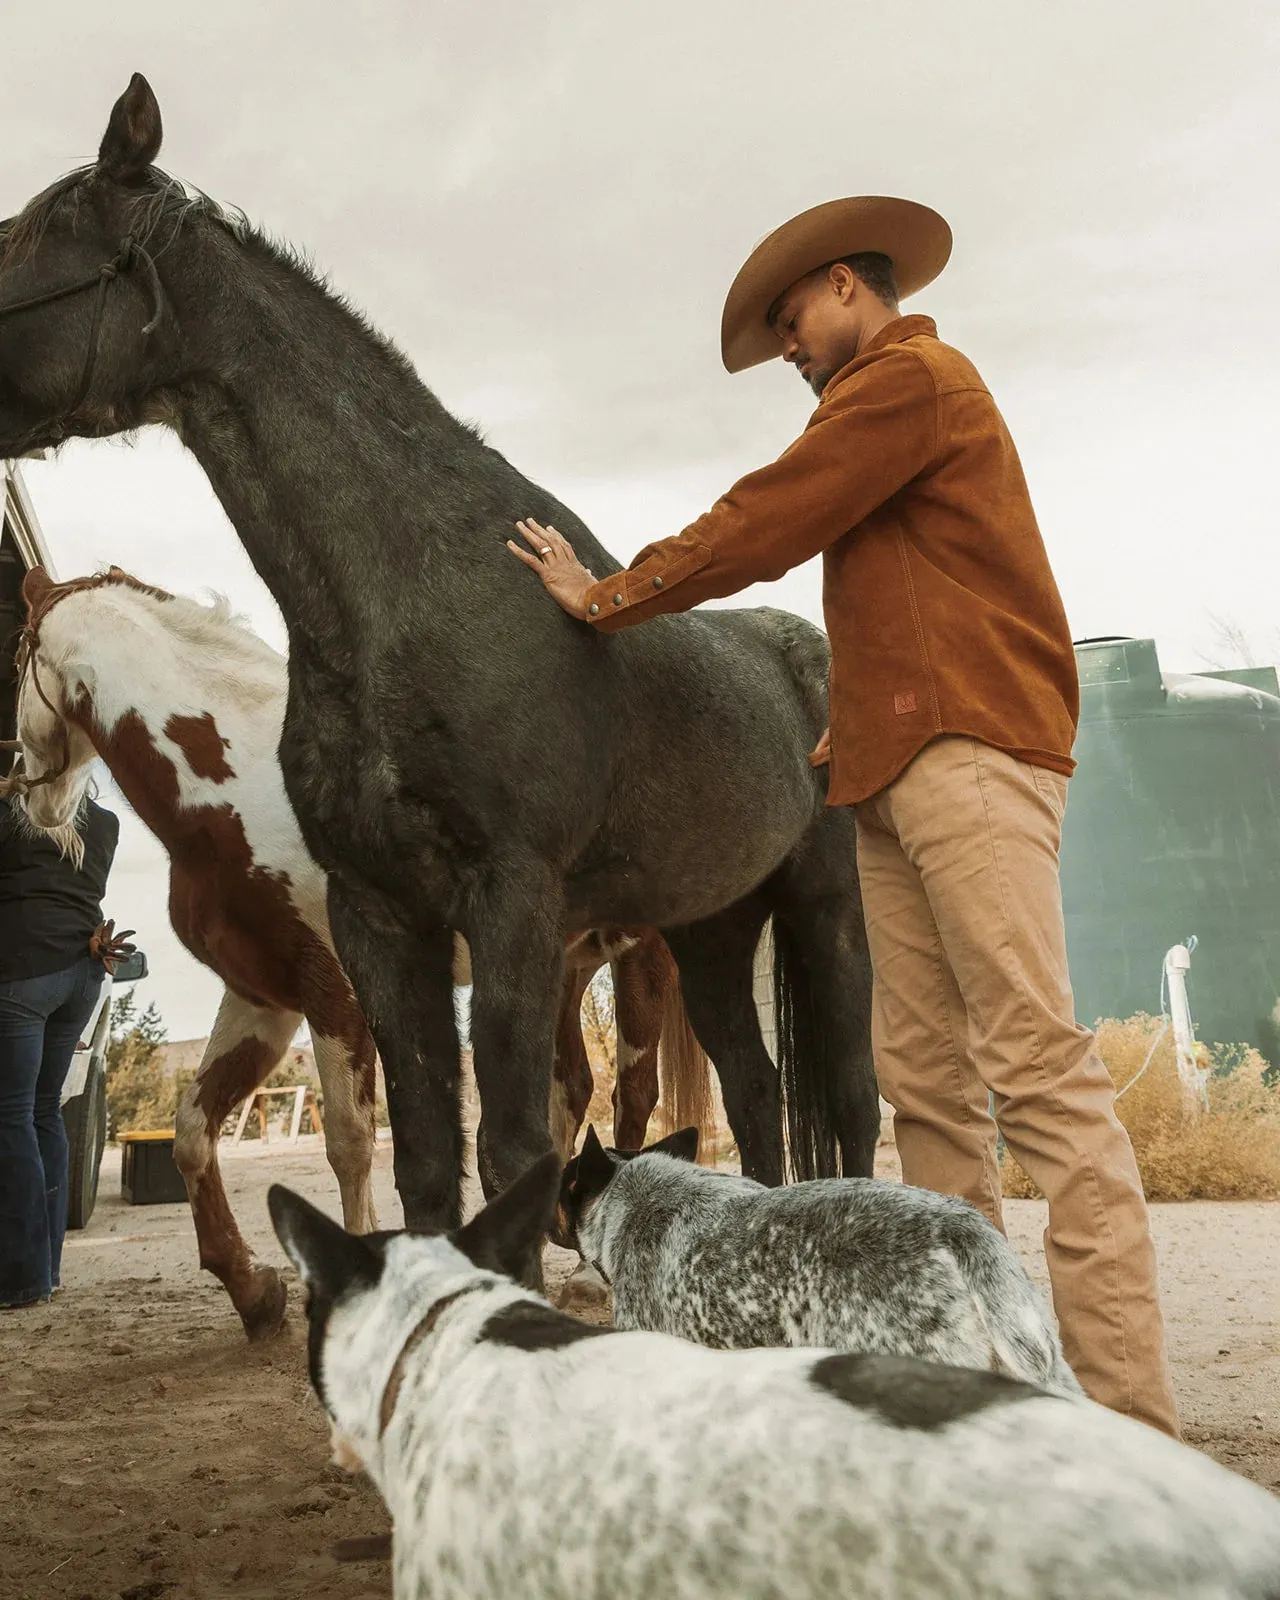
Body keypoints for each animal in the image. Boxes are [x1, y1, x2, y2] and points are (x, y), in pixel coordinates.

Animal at [7, 569, 710, 1331]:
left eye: (14, 655)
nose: (34, 804)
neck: (244, 790)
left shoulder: (335, 993)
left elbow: (348, 1141)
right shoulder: (263, 999)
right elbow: (194, 1129)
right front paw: (253, 1291)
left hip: (639, 955)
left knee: (634, 1094)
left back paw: (587, 1273)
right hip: (562, 965)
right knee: (573, 1084)